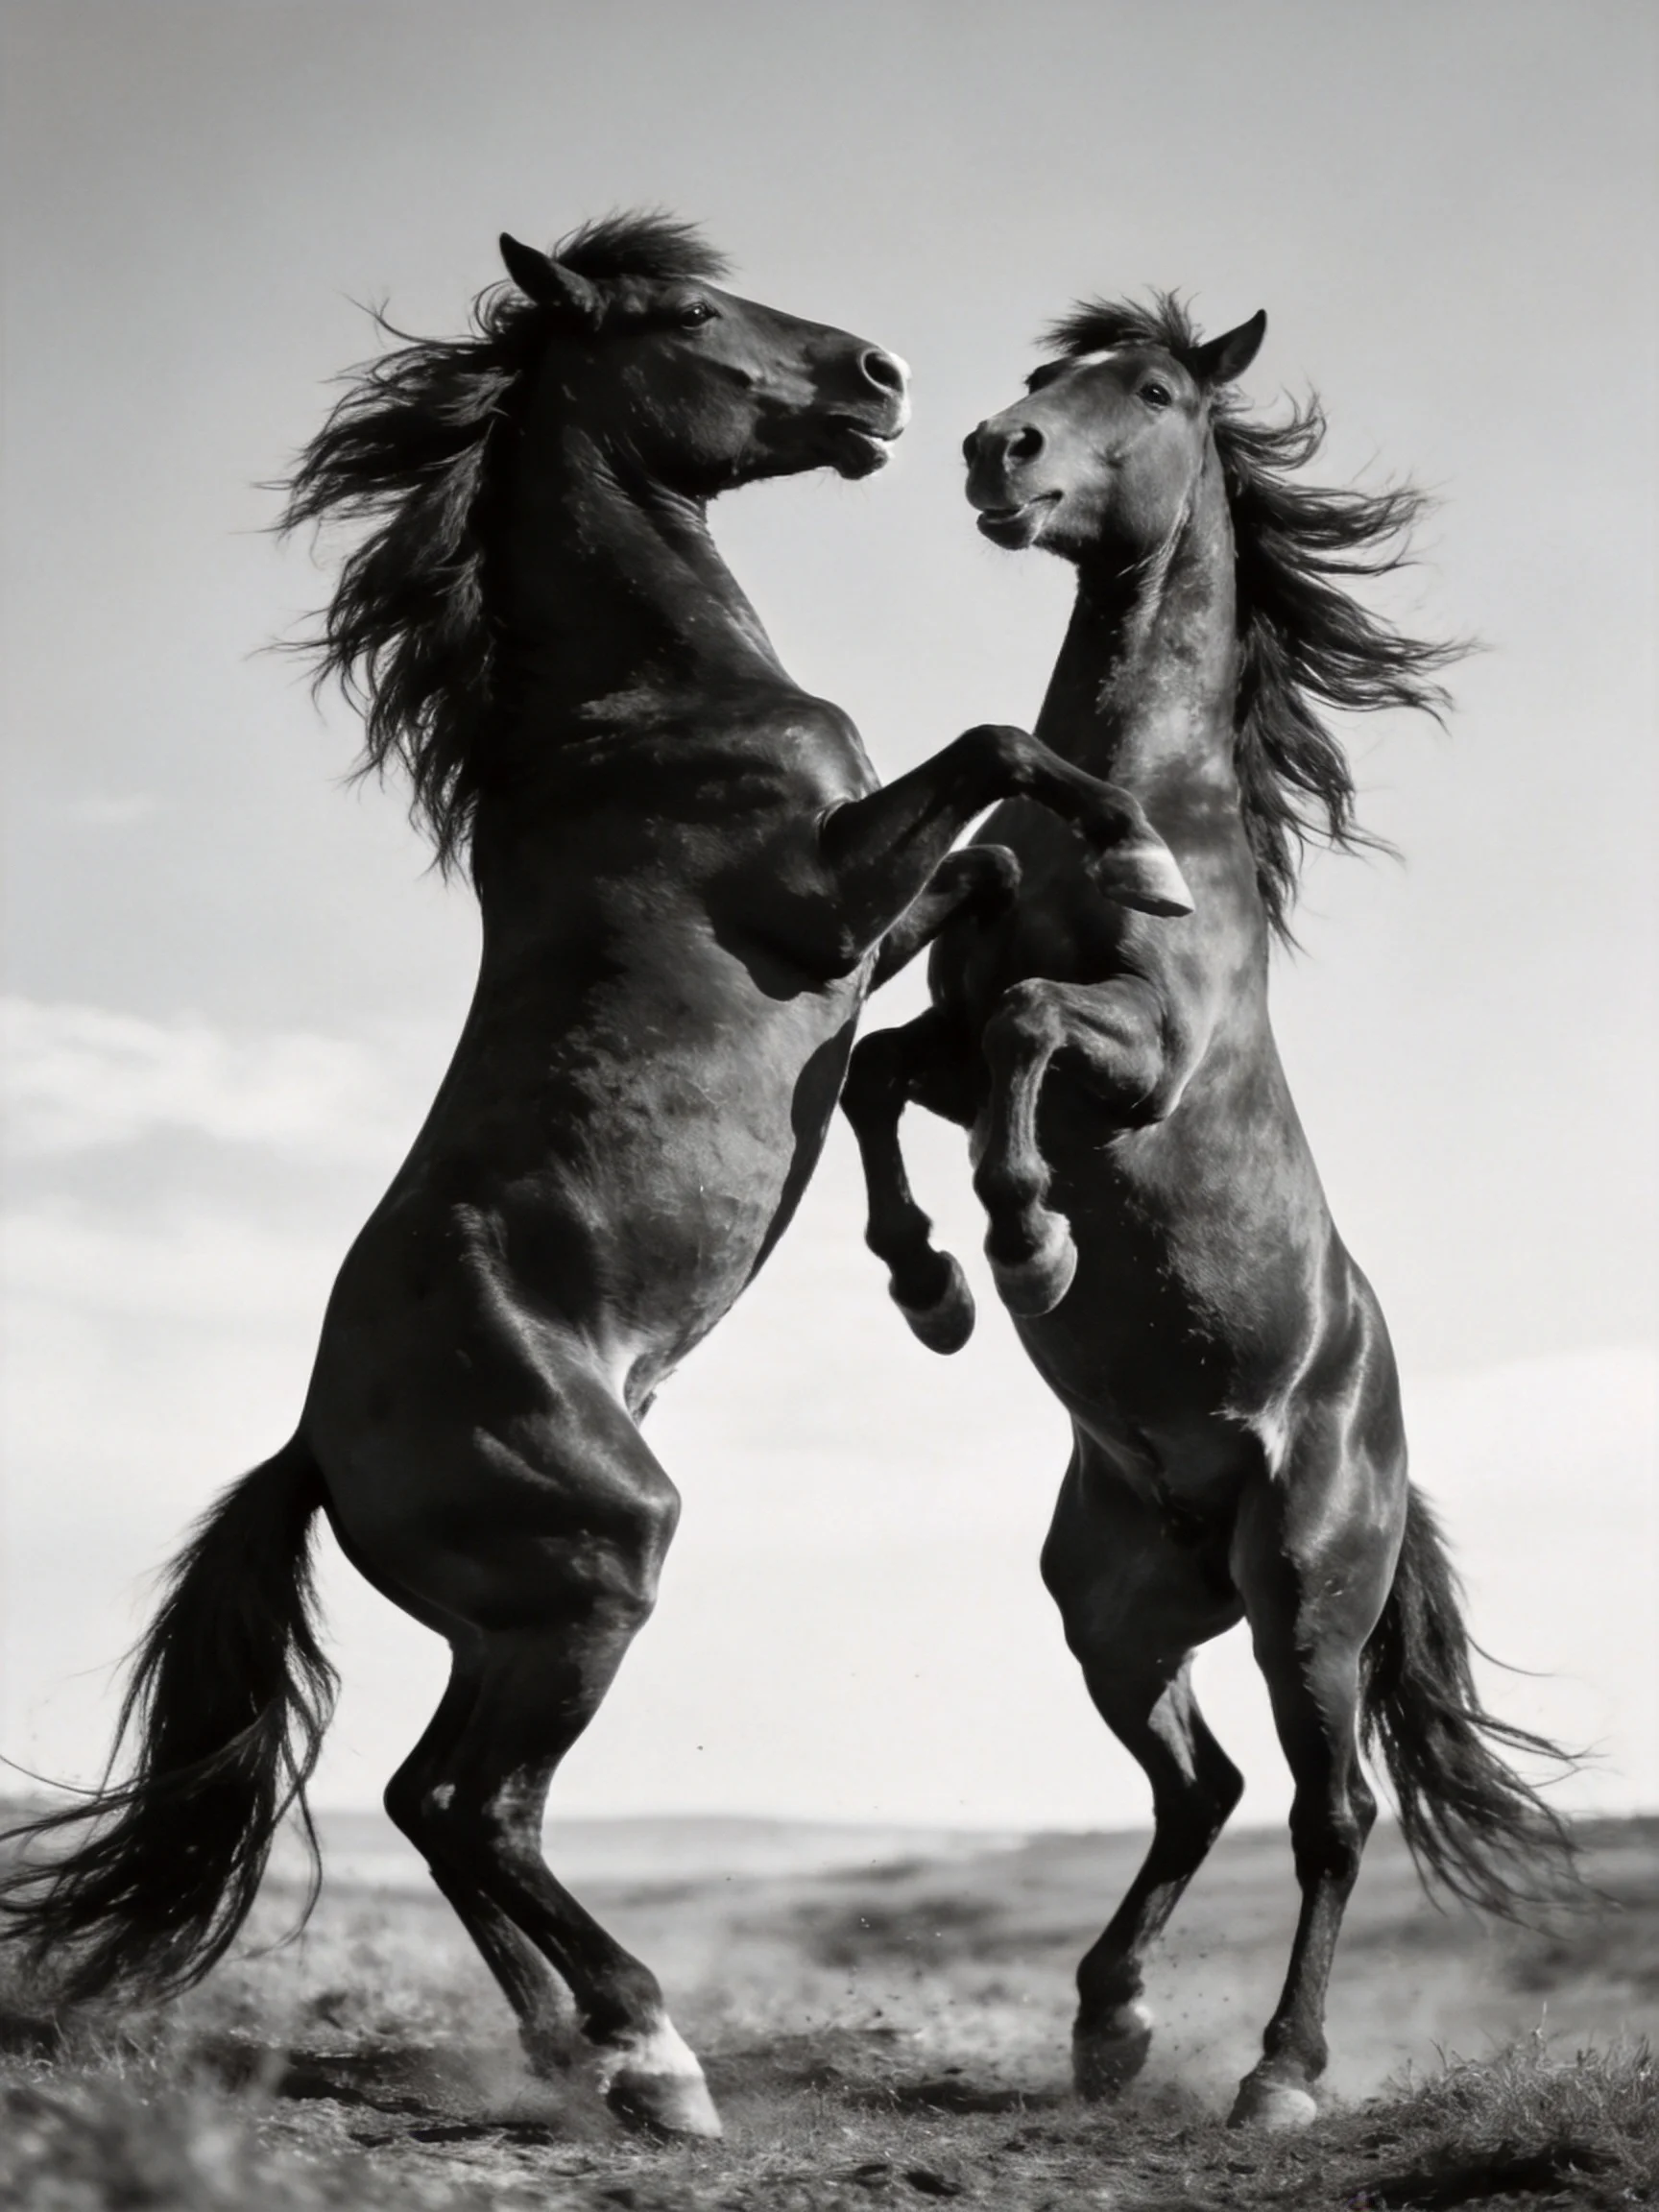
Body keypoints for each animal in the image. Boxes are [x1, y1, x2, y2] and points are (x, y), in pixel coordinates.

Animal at [0, 218, 1196, 2138]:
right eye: (690, 314)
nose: (887, 383)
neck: (643, 711)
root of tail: (318, 1447)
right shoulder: (822, 903)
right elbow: (993, 756)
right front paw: (1145, 860)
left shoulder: (875, 921)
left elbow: (972, 887)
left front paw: (954, 1259)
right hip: (600, 1566)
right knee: (478, 1807)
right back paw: (651, 2051)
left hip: (516, 1623)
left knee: (438, 1801)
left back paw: (577, 2048)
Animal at [840, 294, 1577, 2128]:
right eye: (1046, 381)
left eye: (1156, 390)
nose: (998, 449)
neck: (1139, 796)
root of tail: (1382, 1439)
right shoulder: (949, 1037)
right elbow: (881, 1068)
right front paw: (932, 1284)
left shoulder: (1137, 1059)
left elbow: (1031, 1035)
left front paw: (1024, 1243)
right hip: (1113, 1612)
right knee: (1201, 1787)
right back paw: (1107, 2023)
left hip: (1304, 1593)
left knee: (1327, 1809)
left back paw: (1279, 2077)